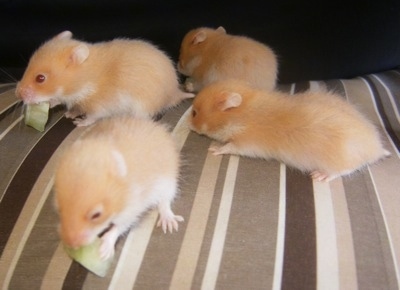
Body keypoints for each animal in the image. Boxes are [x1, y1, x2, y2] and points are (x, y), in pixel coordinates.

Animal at [16, 31, 195, 126]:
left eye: (40, 78)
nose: (18, 94)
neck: (85, 81)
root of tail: (175, 93)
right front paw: (68, 114)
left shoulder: (99, 106)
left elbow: (92, 117)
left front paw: (79, 123)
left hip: (142, 106)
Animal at [54, 116, 184, 260]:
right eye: (59, 210)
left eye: (96, 215)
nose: (71, 245)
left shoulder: (131, 209)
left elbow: (119, 227)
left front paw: (104, 252)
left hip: (168, 182)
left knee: (165, 202)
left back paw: (170, 224)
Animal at [189, 80, 390, 182]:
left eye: (194, 113)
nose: (189, 126)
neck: (241, 115)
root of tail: (377, 149)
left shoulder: (245, 144)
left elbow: (229, 147)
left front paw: (214, 149)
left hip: (341, 161)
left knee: (345, 169)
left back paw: (318, 176)